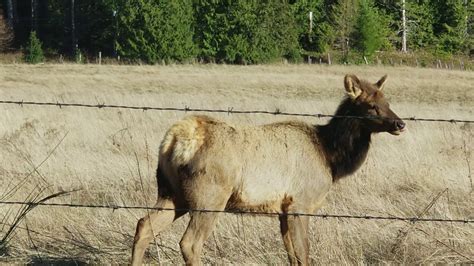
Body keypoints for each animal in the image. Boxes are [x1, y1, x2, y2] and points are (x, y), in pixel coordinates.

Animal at [131, 74, 406, 264]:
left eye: (388, 101)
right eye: (370, 105)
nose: (400, 123)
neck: (330, 157)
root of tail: (174, 141)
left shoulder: (283, 208)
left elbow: (292, 255)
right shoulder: (300, 202)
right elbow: (304, 254)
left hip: (171, 192)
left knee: (144, 225)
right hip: (209, 195)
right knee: (189, 243)